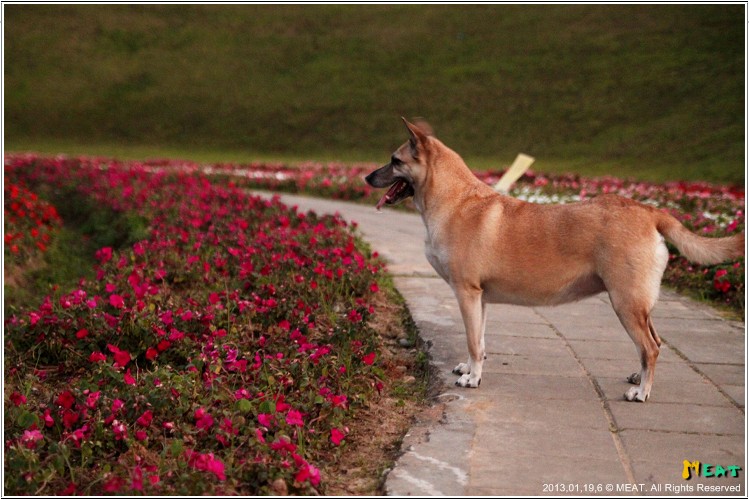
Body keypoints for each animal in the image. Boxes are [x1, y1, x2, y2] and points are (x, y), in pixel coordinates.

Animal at [364, 118, 744, 402]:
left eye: (395, 161)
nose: (367, 177)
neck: (453, 199)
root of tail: (648, 210)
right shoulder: (480, 299)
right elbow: (480, 341)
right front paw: (473, 368)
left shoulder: (467, 293)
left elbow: (472, 341)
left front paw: (472, 379)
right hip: (637, 304)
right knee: (654, 342)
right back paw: (639, 378)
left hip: (626, 302)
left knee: (650, 347)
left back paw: (641, 392)